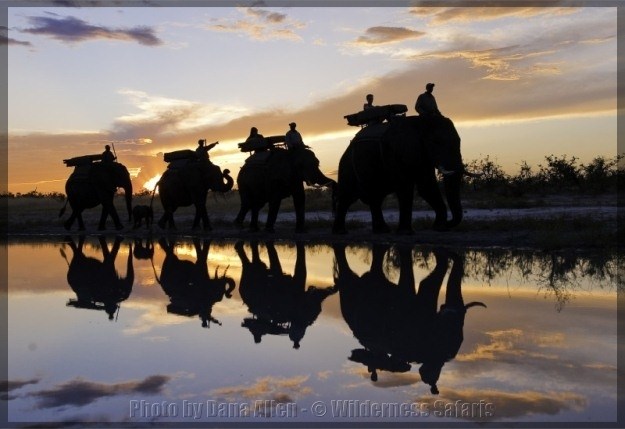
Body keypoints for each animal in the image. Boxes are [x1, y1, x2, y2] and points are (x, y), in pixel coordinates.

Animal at [334, 114, 466, 234]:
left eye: (459, 141)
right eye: (436, 142)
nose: (449, 222)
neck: (420, 121)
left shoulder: (422, 156)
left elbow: (426, 187)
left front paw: (440, 228)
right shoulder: (396, 153)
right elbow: (405, 187)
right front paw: (406, 233)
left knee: (375, 198)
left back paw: (382, 231)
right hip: (347, 167)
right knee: (347, 197)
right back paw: (340, 232)